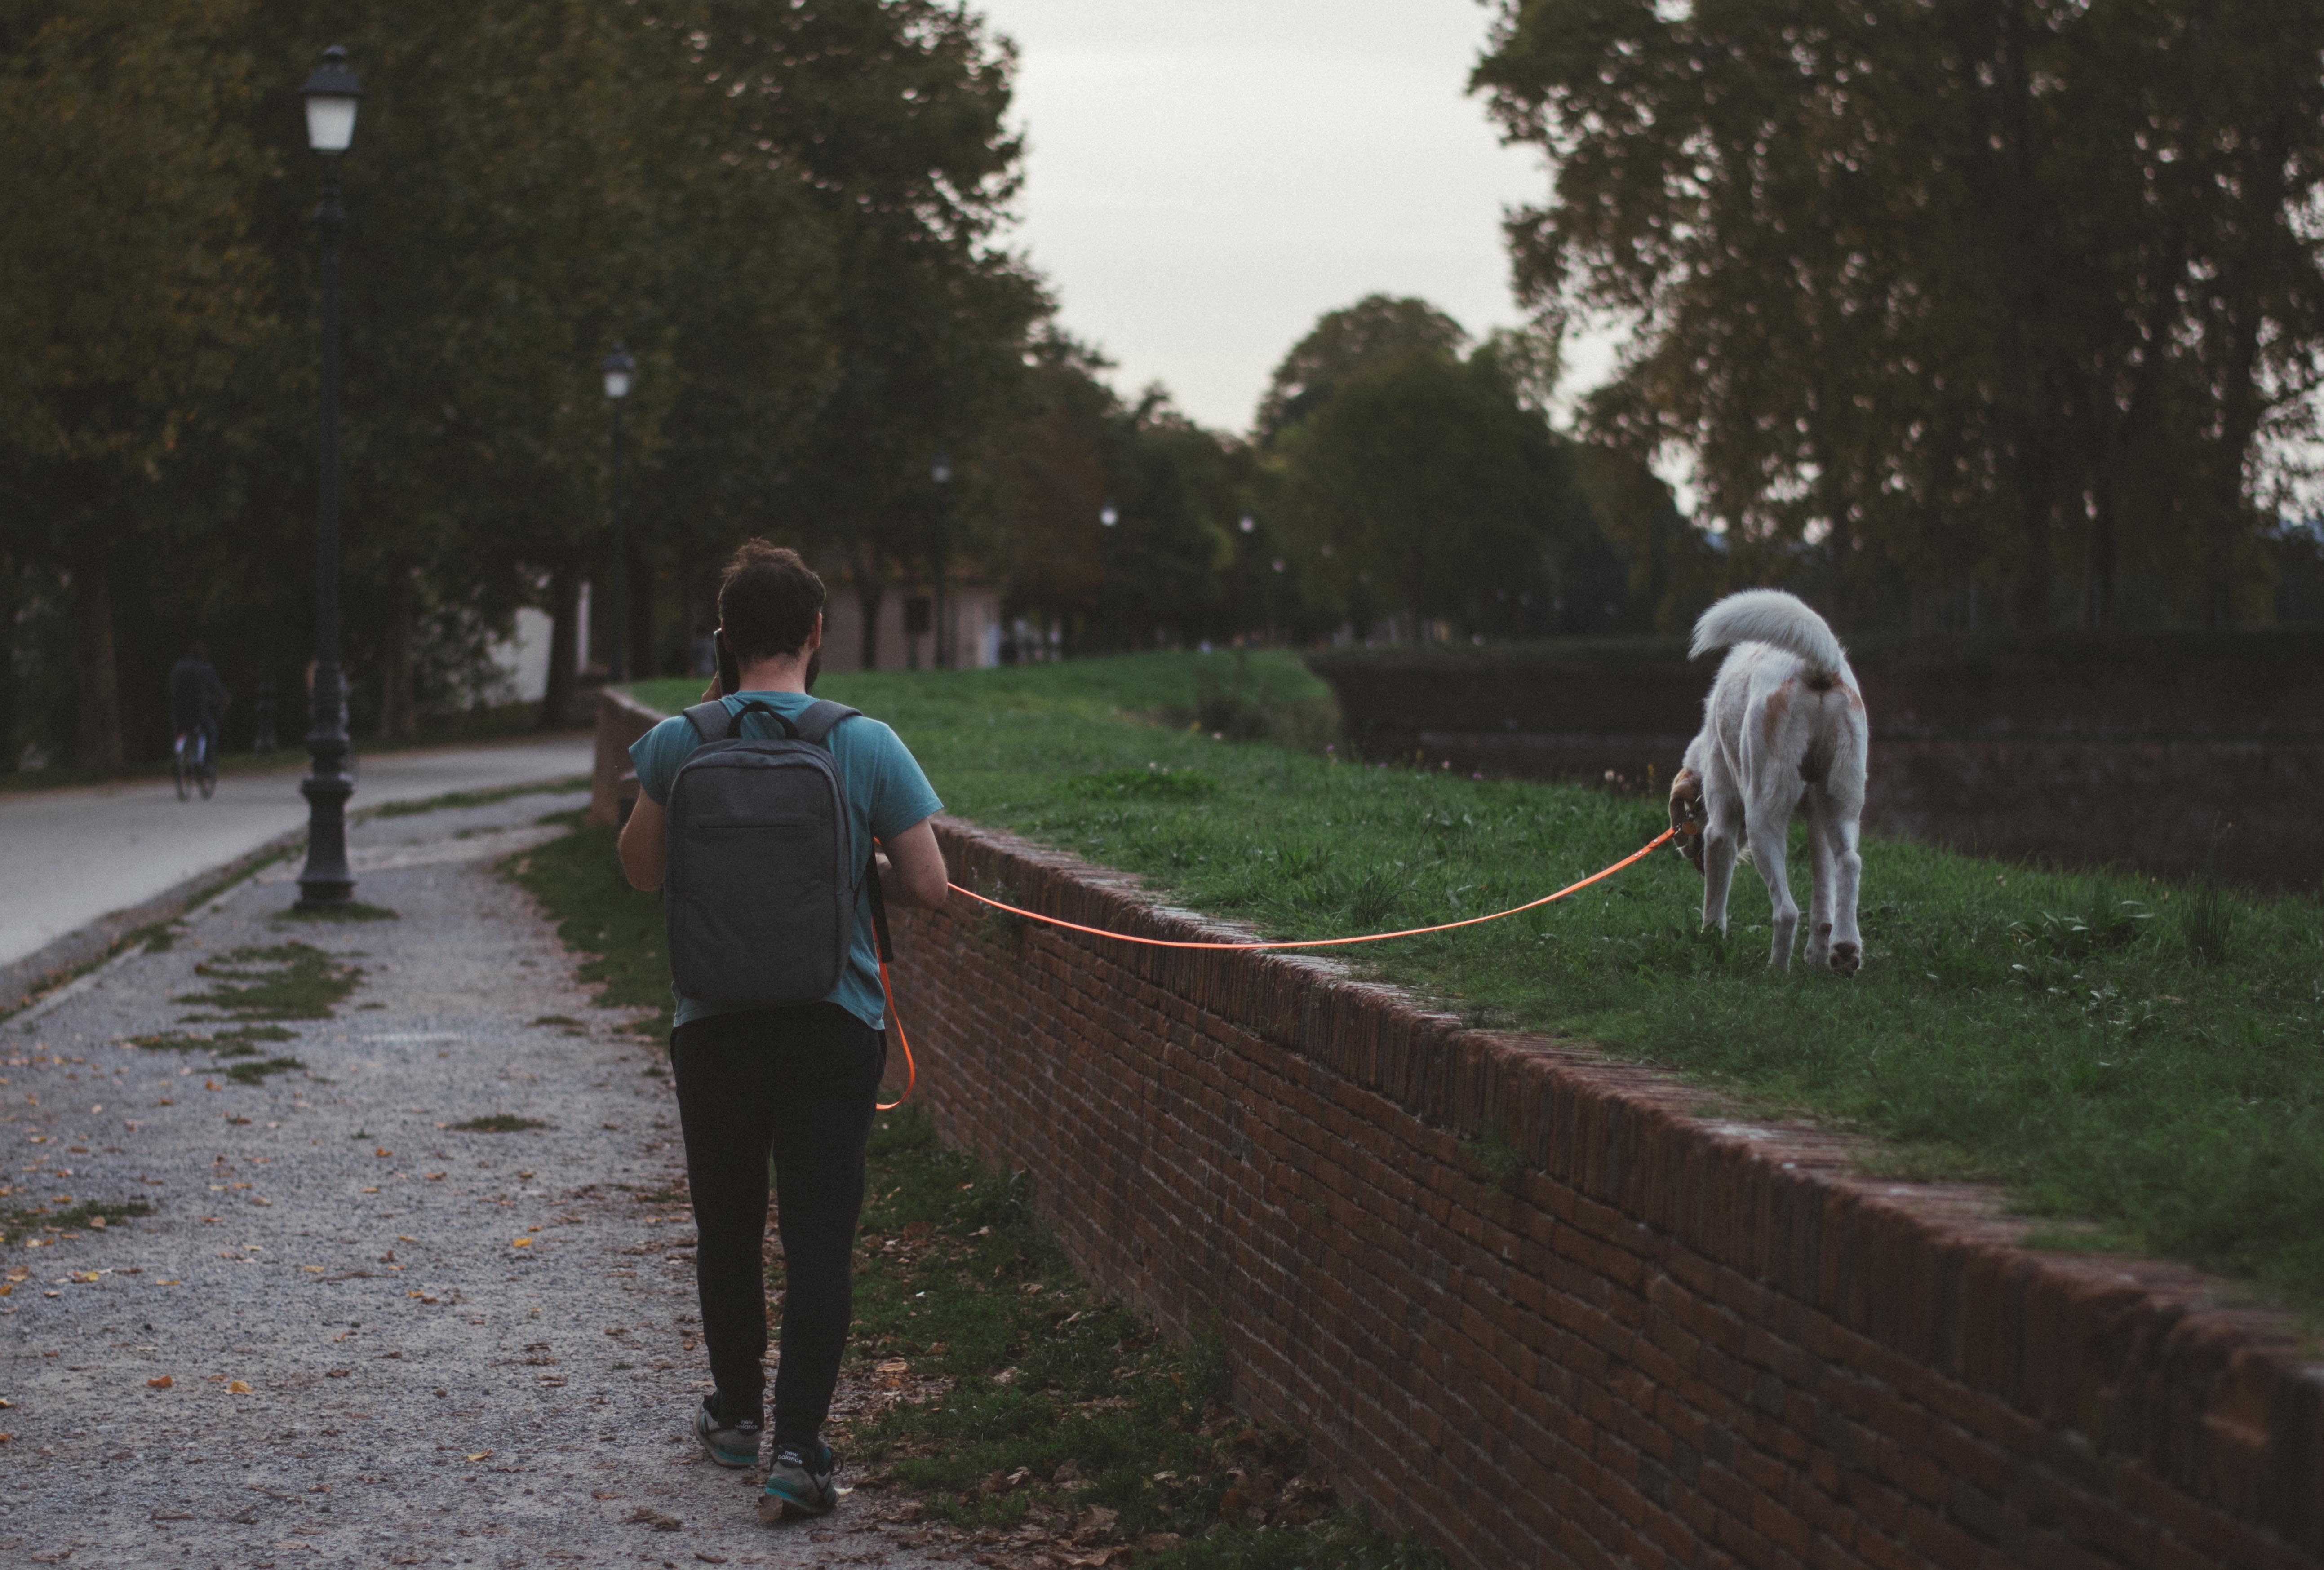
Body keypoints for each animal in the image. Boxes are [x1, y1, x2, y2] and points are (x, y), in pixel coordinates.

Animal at [1673, 592, 1868, 975]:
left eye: (1689, 815)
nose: (1684, 852)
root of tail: (1819, 667)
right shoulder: (1817, 823)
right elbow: (1823, 900)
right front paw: (1817, 954)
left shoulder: (1720, 827)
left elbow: (1714, 901)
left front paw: (1710, 941)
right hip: (1842, 804)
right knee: (1849, 864)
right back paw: (1845, 950)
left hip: (1763, 817)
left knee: (1787, 911)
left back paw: (1776, 970)